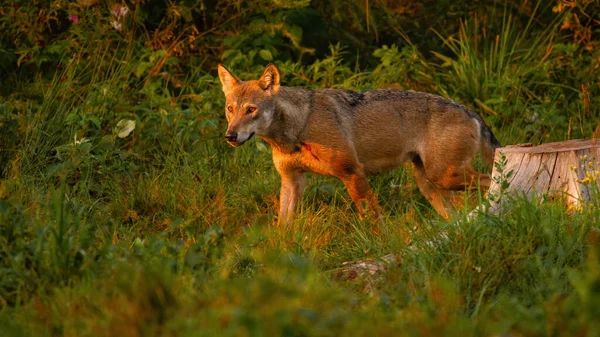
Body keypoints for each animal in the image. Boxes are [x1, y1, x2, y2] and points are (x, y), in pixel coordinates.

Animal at [218, 63, 500, 223]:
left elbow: (373, 221)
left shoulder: (353, 173)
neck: (299, 128)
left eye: (251, 109)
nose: (230, 136)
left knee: (491, 180)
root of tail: (471, 110)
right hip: (431, 185)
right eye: (230, 109)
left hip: (445, 177)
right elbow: (283, 226)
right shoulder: (292, 180)